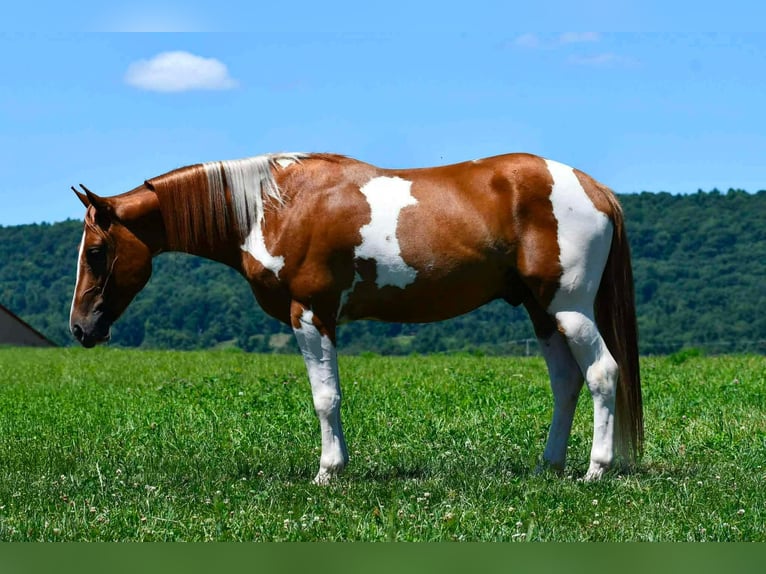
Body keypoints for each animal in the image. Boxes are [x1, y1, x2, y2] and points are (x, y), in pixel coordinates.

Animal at [69, 152, 643, 484]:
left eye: (95, 251)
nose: (80, 328)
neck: (274, 205)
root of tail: (594, 188)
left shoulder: (311, 315)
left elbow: (326, 398)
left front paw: (329, 473)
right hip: (541, 311)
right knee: (566, 382)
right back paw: (550, 465)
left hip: (569, 308)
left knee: (601, 373)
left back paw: (595, 470)